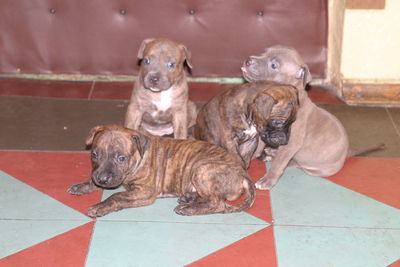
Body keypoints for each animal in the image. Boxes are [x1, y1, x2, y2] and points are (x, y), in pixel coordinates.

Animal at [68, 125, 256, 218]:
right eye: (94, 154)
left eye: (121, 158)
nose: (102, 179)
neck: (139, 157)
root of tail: (243, 175)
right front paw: (83, 186)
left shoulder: (144, 191)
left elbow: (117, 196)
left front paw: (100, 207)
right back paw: (189, 199)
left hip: (202, 169)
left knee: (217, 203)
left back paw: (189, 209)